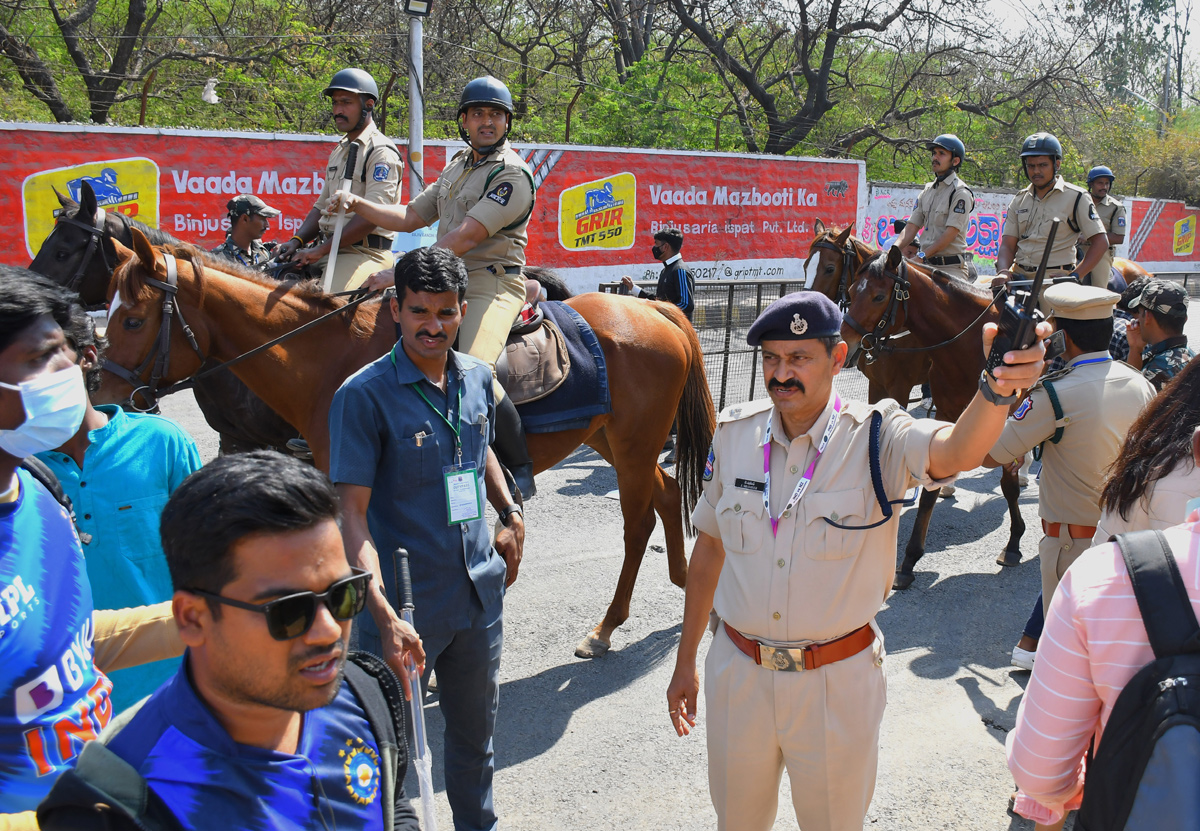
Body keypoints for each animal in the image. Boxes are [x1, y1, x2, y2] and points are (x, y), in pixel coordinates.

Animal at [100, 225, 710, 658]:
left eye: (131, 320)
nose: (101, 389)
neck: (327, 359)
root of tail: (652, 306)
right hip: (612, 441)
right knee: (666, 492)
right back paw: (682, 582)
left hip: (633, 446)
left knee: (638, 523)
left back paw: (607, 626)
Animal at [840, 243, 1027, 588]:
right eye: (850, 291)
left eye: (878, 296)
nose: (845, 342)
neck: (968, 342)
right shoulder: (946, 412)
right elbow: (929, 488)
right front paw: (909, 560)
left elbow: (1007, 482)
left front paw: (1014, 543)